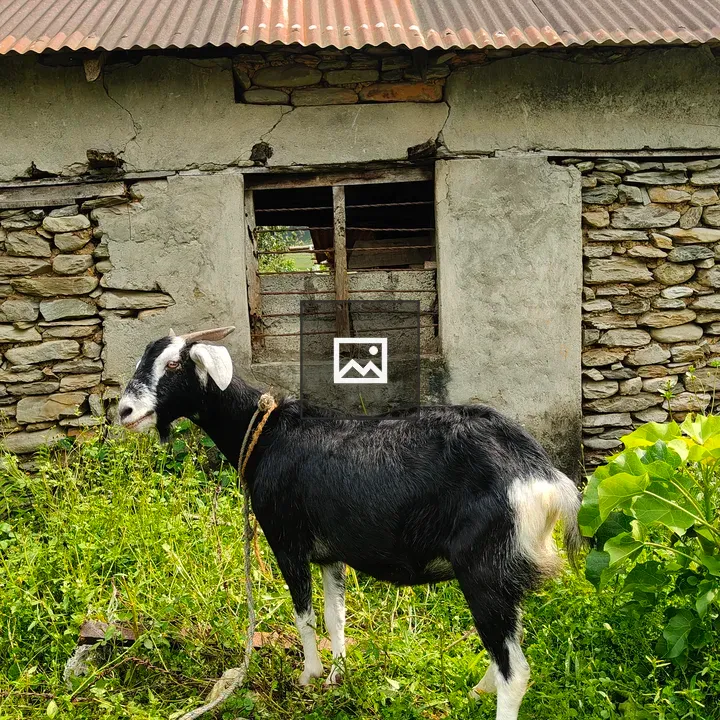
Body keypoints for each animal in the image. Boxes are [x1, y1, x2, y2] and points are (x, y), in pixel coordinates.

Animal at [118, 327, 582, 720]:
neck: (266, 433)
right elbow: (334, 615)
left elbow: (303, 614)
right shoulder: (329, 554)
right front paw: (338, 674)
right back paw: (478, 690)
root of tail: (542, 477)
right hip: (504, 576)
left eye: (173, 365)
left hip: (484, 568)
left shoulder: (287, 541)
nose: (124, 410)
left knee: (515, 671)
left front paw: (309, 676)